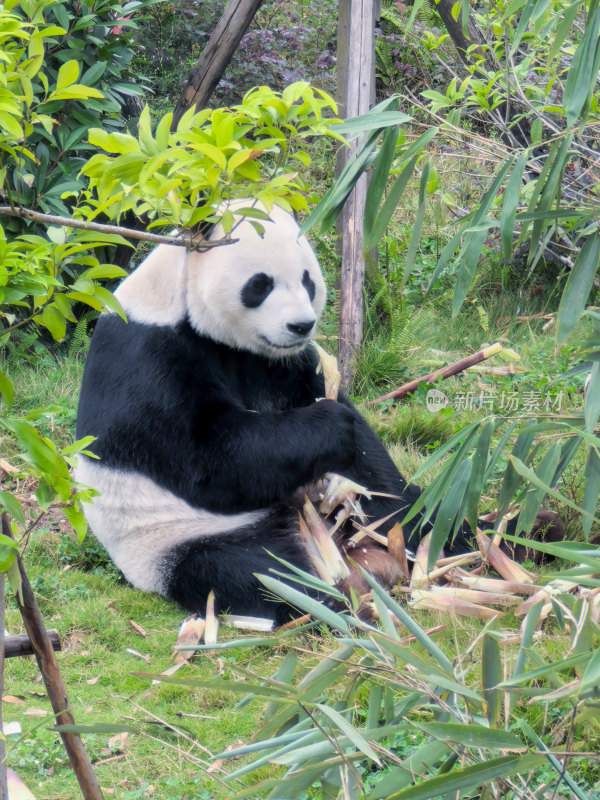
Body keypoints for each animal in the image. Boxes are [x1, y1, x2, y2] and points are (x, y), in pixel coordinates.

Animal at [74, 203, 556, 620]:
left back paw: (514, 540)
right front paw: (331, 426)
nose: (300, 325)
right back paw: (339, 599)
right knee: (253, 570)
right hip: (175, 539)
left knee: (431, 512)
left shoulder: (277, 362)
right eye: (260, 284)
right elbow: (208, 460)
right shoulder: (149, 357)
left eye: (307, 280)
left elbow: (364, 455)